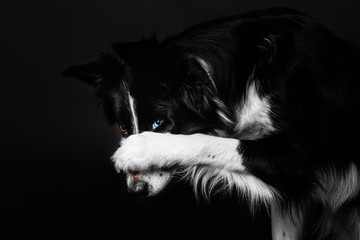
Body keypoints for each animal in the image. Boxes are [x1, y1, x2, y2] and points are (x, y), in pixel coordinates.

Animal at [64, 7, 360, 240]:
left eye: (159, 123)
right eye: (124, 128)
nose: (136, 190)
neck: (247, 74)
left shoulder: (298, 157)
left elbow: (209, 141)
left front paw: (142, 149)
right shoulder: (288, 191)